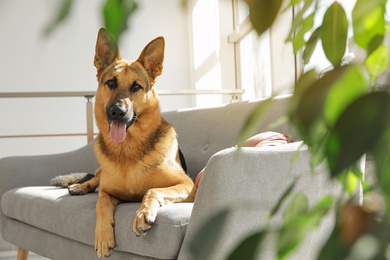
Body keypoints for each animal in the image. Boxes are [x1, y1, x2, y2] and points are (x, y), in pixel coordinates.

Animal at [51, 28, 197, 258]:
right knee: (95, 178)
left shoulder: (187, 185)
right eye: (111, 82)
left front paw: (142, 214)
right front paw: (103, 236)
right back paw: (80, 186)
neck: (127, 151)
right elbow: (100, 203)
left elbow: (152, 190)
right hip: (100, 173)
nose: (117, 112)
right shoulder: (107, 192)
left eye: (136, 87)